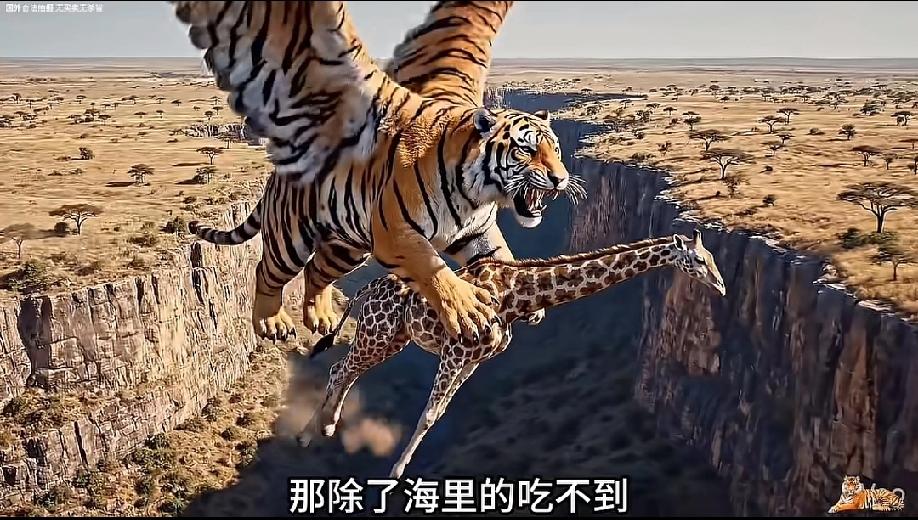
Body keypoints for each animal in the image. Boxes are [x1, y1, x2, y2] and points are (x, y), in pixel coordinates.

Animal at [172, 2, 581, 341]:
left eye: (557, 150)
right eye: (527, 149)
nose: (561, 179)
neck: (475, 194)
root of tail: (280, 173)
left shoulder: (478, 232)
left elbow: (502, 256)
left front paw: (524, 291)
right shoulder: (396, 234)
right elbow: (433, 269)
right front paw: (467, 312)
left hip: (346, 246)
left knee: (316, 271)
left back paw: (320, 318)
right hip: (291, 238)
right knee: (267, 272)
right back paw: (271, 323)